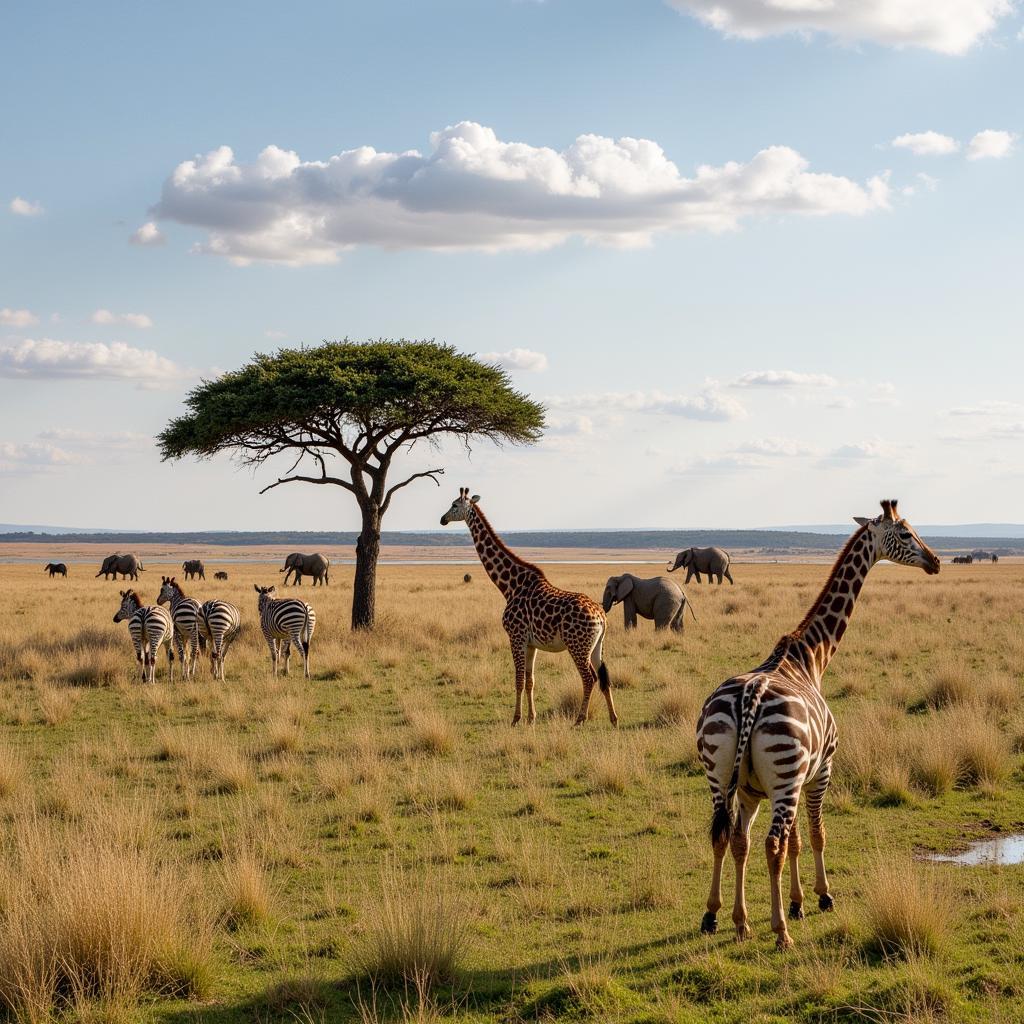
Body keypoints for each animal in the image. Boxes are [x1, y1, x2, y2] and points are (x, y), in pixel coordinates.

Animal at [438, 487, 614, 729]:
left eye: (454, 505)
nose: (442, 519)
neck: (511, 586)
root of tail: (602, 617)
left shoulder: (516, 636)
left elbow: (518, 679)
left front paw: (516, 719)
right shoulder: (532, 643)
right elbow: (531, 680)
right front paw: (531, 718)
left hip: (577, 646)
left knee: (590, 678)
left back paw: (579, 719)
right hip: (596, 646)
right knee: (605, 677)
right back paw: (614, 719)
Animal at [692, 499, 937, 946]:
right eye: (906, 533)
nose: (936, 562)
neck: (809, 656)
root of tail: (750, 699)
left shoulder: (759, 788)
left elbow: (779, 842)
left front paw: (784, 906)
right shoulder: (821, 770)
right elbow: (815, 834)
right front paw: (819, 898)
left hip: (720, 772)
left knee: (727, 836)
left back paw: (720, 917)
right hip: (784, 773)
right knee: (771, 843)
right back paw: (780, 933)